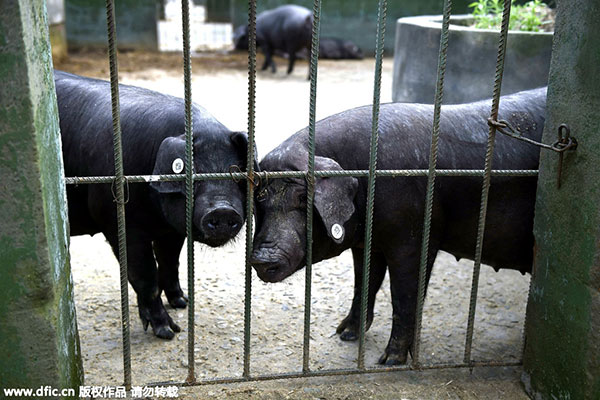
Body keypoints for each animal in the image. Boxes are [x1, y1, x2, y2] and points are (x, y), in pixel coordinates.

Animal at [251, 87, 548, 366]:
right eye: (261, 201)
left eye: (302, 198)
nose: (261, 258)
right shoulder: (367, 243)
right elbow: (364, 283)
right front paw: (344, 334)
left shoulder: (414, 236)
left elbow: (404, 297)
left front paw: (389, 361)